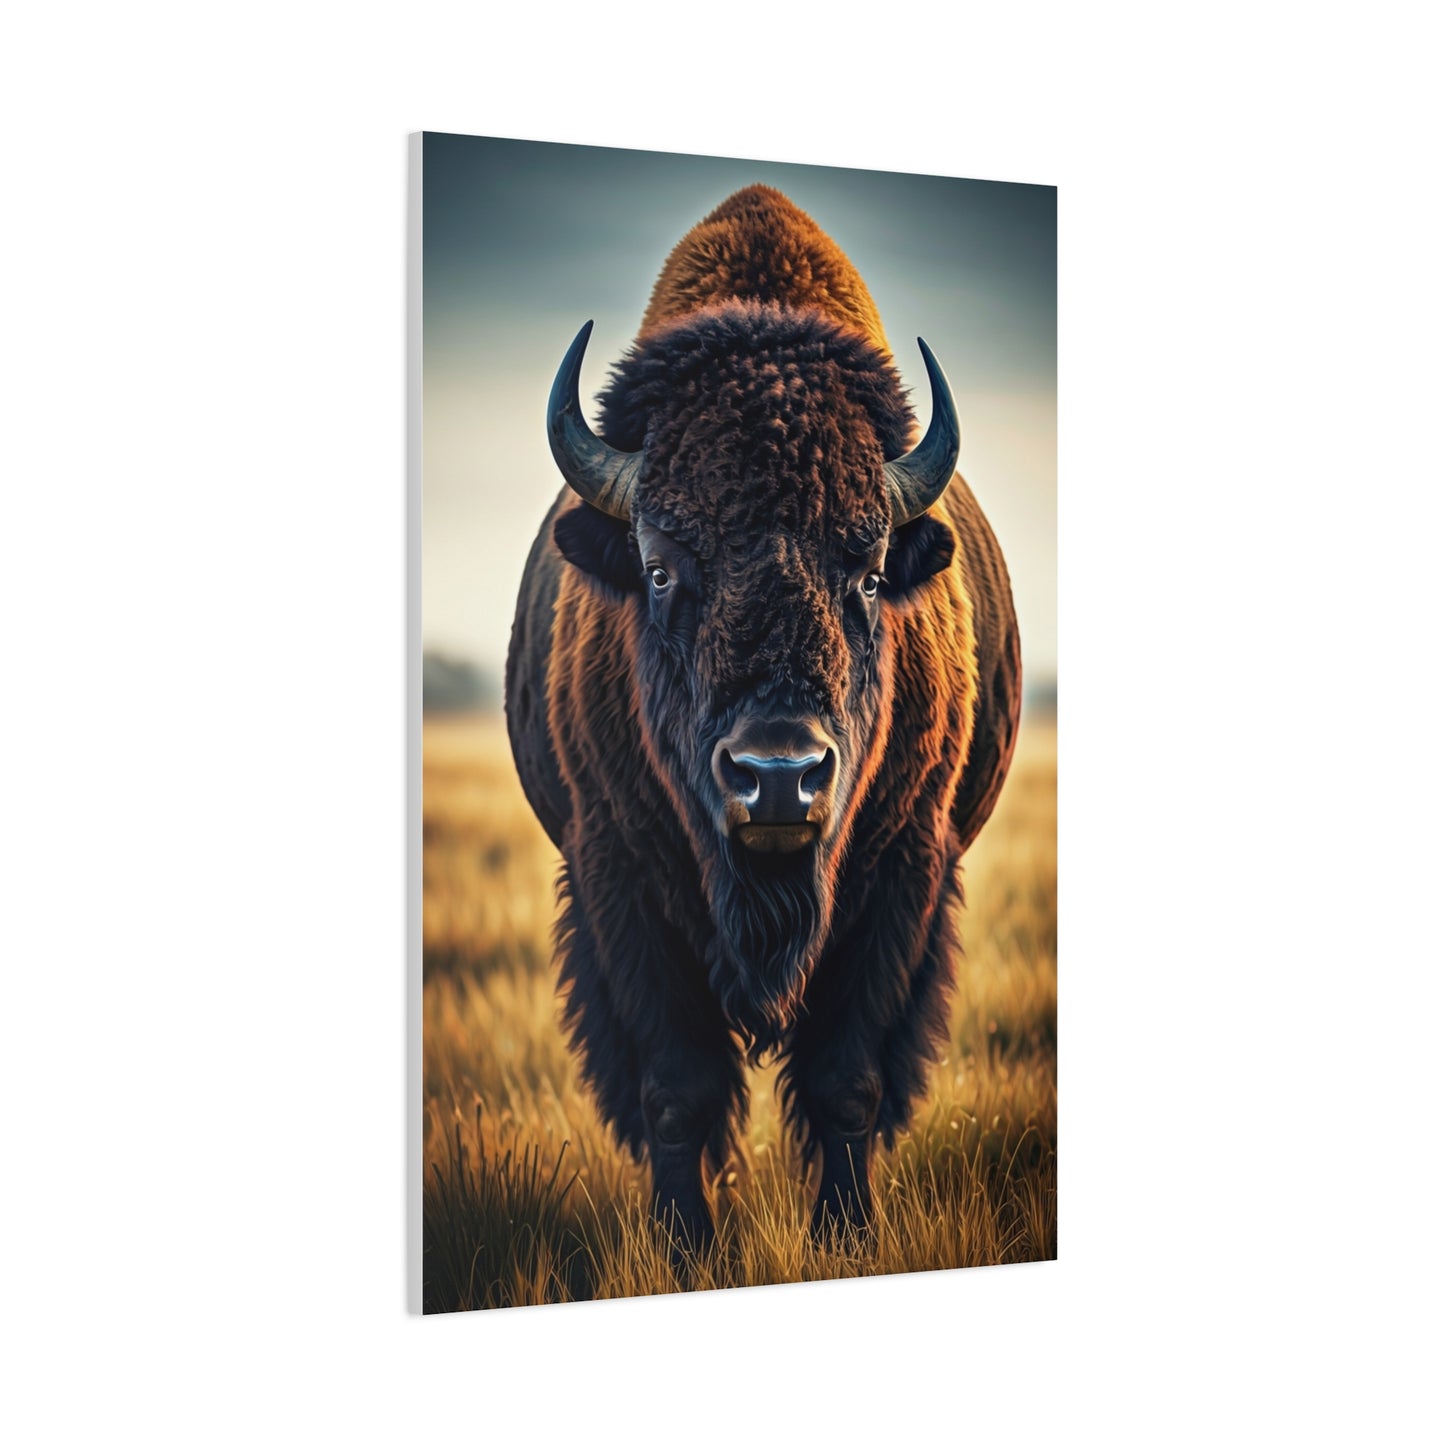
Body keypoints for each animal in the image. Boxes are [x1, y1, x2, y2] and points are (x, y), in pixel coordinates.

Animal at [505, 185, 1021, 1250]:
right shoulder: (615, 873)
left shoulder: (903, 869)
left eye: (868, 570)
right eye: (660, 566)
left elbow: (846, 1078)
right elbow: (676, 1086)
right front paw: (684, 1245)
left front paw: (847, 1236)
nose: (778, 776)